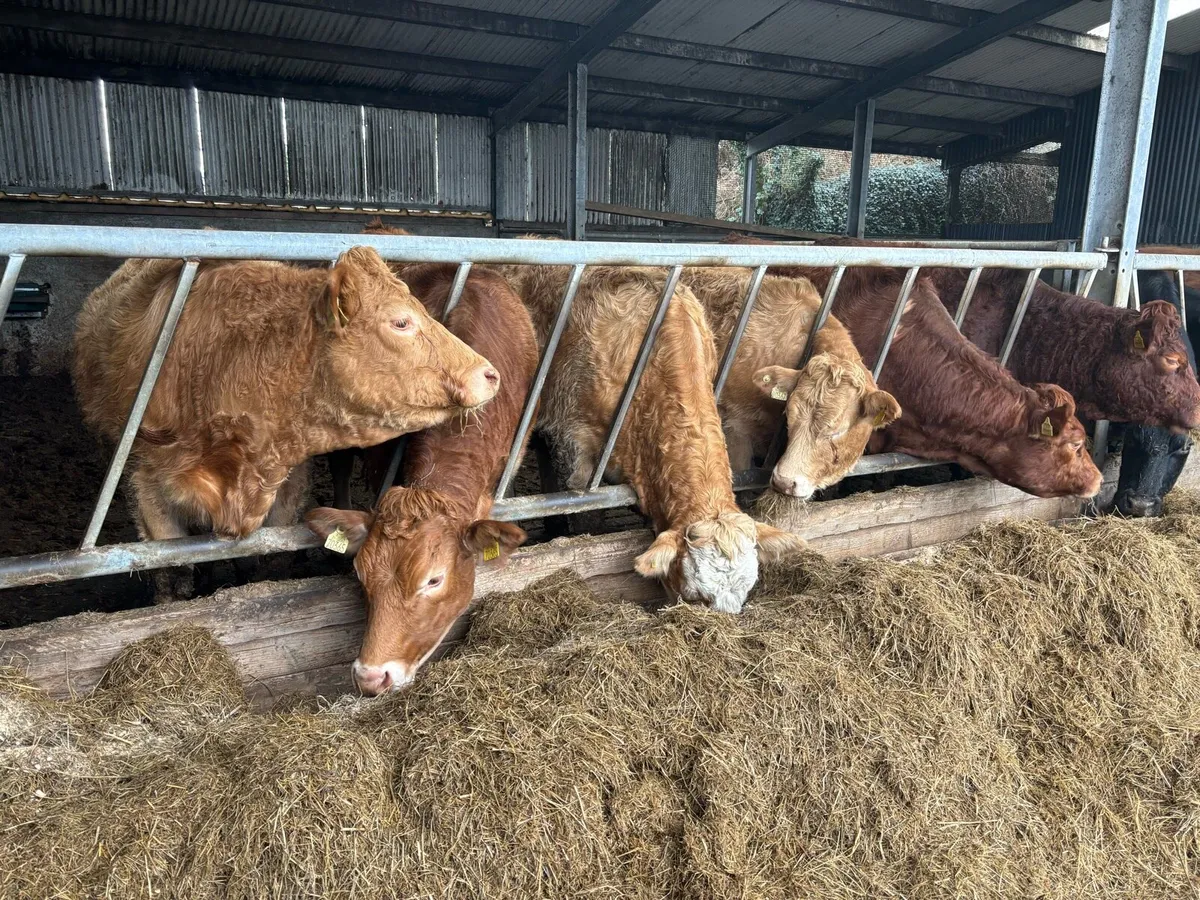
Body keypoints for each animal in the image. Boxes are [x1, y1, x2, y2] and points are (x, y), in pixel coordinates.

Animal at [73, 247, 499, 600]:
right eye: (401, 322)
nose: (489, 373)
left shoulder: (288, 486)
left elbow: (269, 558)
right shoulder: (146, 489)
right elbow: (171, 572)